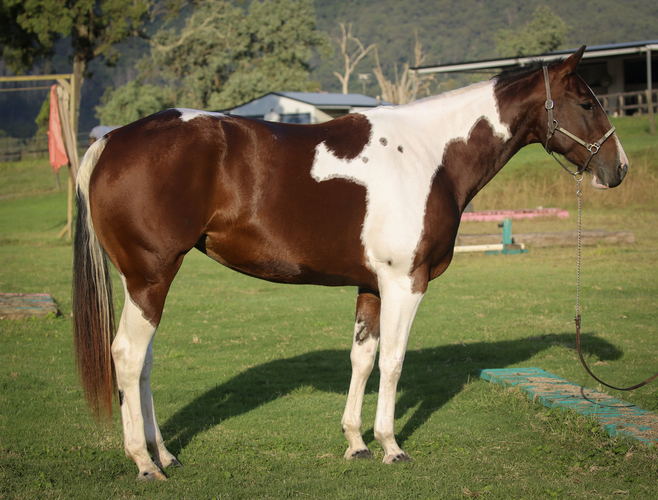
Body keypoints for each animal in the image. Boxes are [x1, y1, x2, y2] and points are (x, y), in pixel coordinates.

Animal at [72, 46, 628, 481]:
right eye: (586, 101)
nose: (618, 168)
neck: (429, 157)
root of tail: (112, 139)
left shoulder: (372, 287)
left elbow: (363, 357)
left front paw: (356, 443)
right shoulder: (406, 282)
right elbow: (393, 361)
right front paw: (391, 447)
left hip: (146, 282)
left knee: (143, 364)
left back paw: (166, 455)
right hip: (150, 278)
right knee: (127, 356)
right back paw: (145, 463)